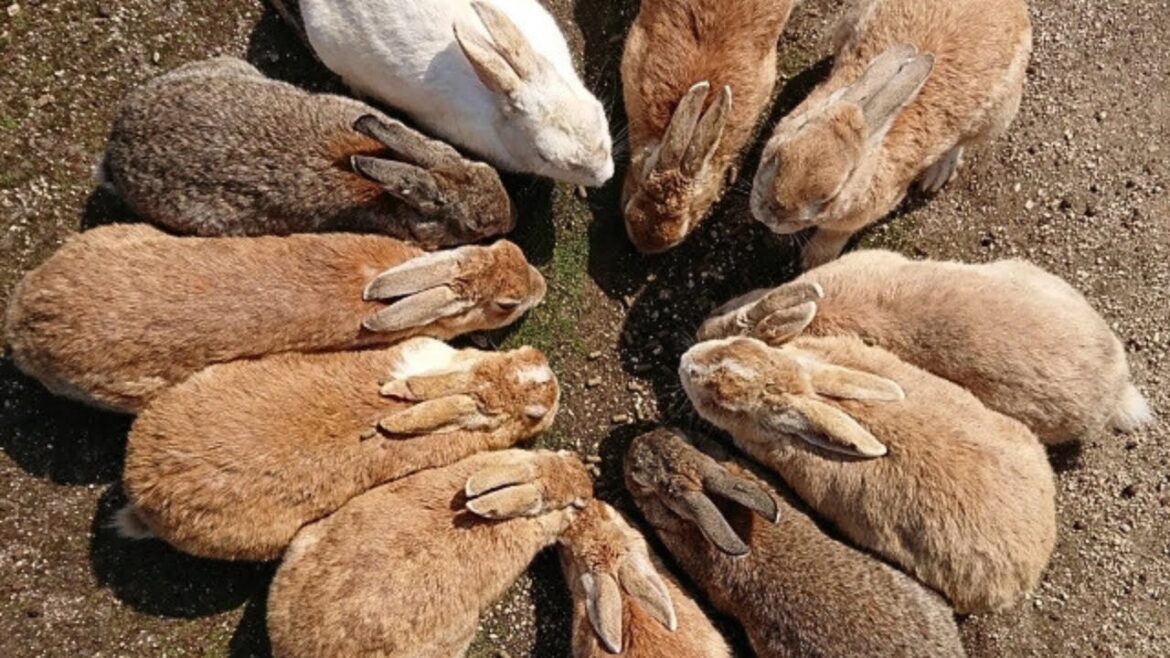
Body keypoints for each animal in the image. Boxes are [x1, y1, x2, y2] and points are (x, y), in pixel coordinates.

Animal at [749, 0, 1032, 267]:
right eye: (776, 156)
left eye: (830, 196)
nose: (769, 214)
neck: (866, 120)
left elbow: (834, 234)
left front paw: (814, 260)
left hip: (998, 117)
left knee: (960, 144)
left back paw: (937, 174)